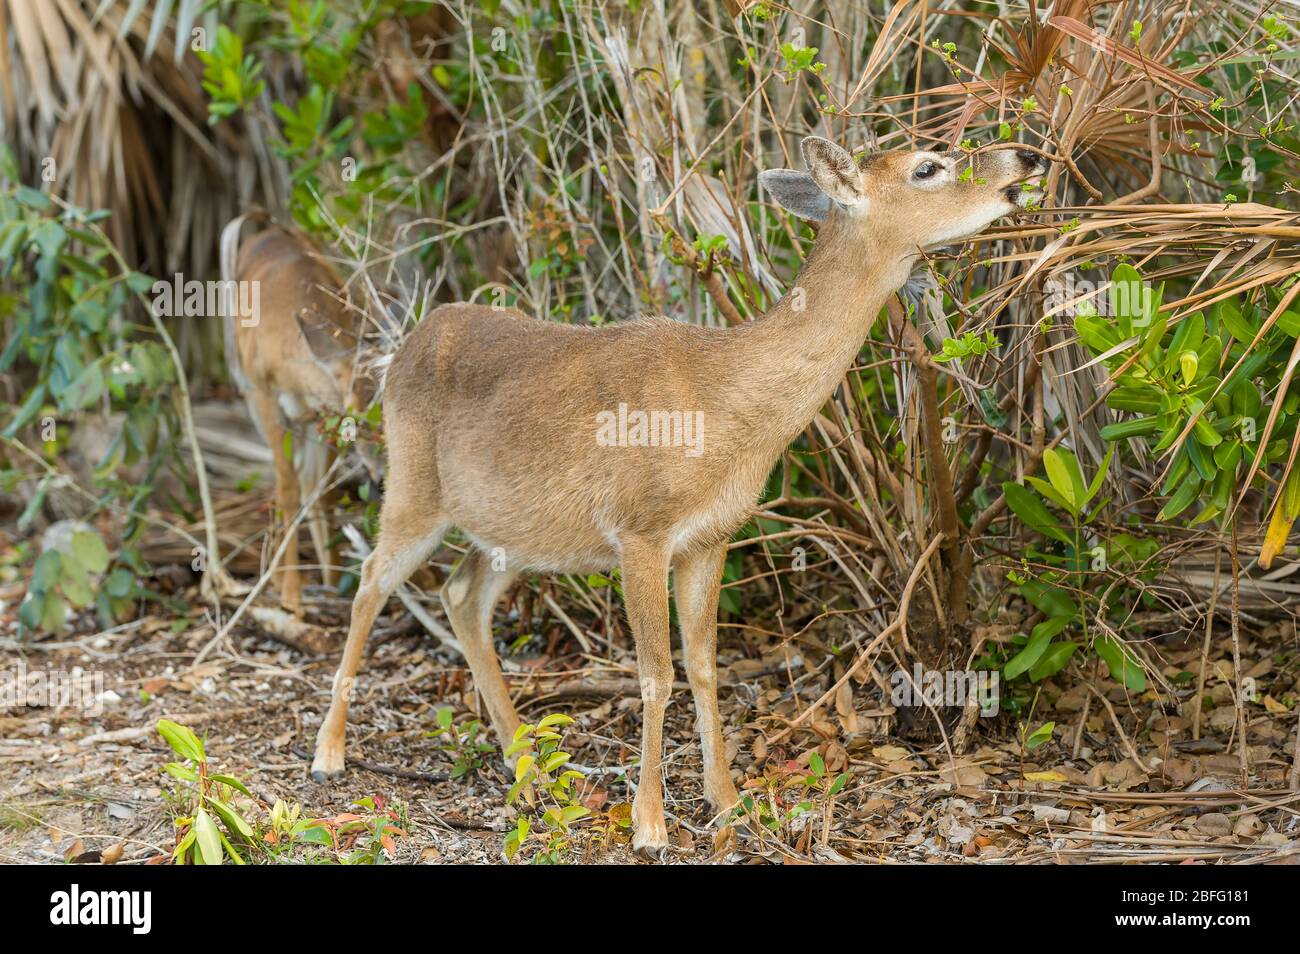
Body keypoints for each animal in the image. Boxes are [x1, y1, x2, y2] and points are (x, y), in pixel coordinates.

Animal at [220, 217, 369, 616]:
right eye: (359, 414)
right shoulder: (265, 397)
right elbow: (288, 488)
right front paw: (291, 596)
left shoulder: (319, 416)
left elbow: (321, 491)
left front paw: (334, 580)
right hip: (251, 396)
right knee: (285, 478)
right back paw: (275, 578)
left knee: (307, 480)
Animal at [306, 140, 1045, 857]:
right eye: (928, 166)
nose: (1026, 159)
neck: (726, 405)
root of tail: (407, 344)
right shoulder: (641, 529)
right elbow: (656, 674)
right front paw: (650, 825)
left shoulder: (710, 537)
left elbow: (706, 666)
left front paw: (727, 804)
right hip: (413, 483)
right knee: (371, 580)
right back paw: (329, 754)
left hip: (512, 528)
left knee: (461, 595)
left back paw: (527, 768)